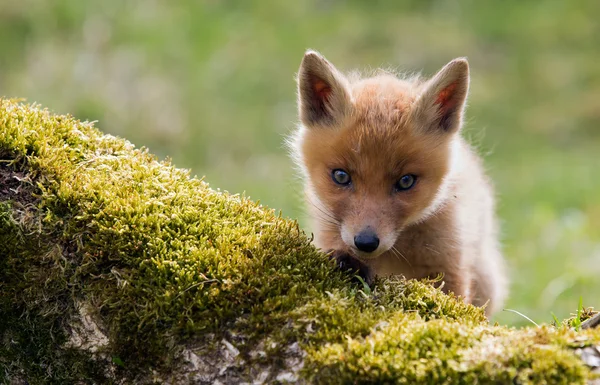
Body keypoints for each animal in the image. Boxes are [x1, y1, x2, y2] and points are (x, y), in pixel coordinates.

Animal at [288, 50, 508, 316]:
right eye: (341, 176)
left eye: (405, 181)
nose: (366, 242)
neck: (396, 255)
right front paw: (349, 263)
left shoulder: (449, 267)